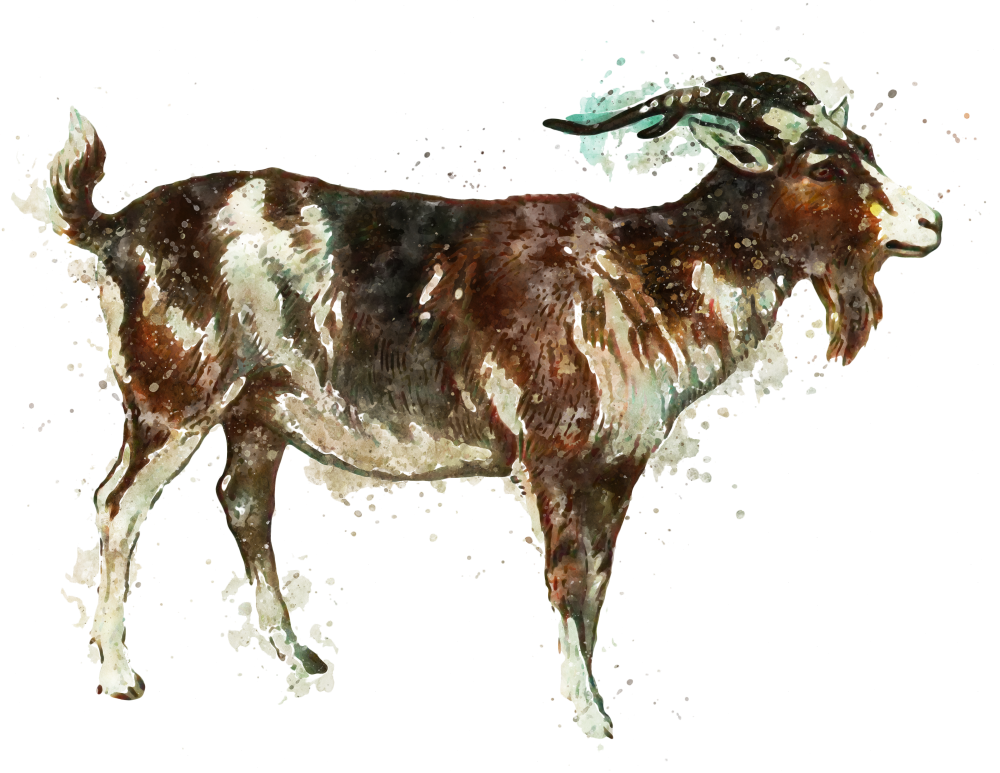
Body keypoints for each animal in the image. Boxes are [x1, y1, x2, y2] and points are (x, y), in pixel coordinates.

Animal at [12, 71, 941, 740]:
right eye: (821, 166)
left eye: (862, 145)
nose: (929, 222)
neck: (639, 277)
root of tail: (113, 229)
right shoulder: (562, 459)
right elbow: (574, 582)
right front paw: (594, 716)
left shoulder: (613, 468)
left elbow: (596, 581)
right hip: (174, 401)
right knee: (119, 505)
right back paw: (120, 675)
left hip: (256, 419)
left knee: (241, 504)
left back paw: (301, 659)